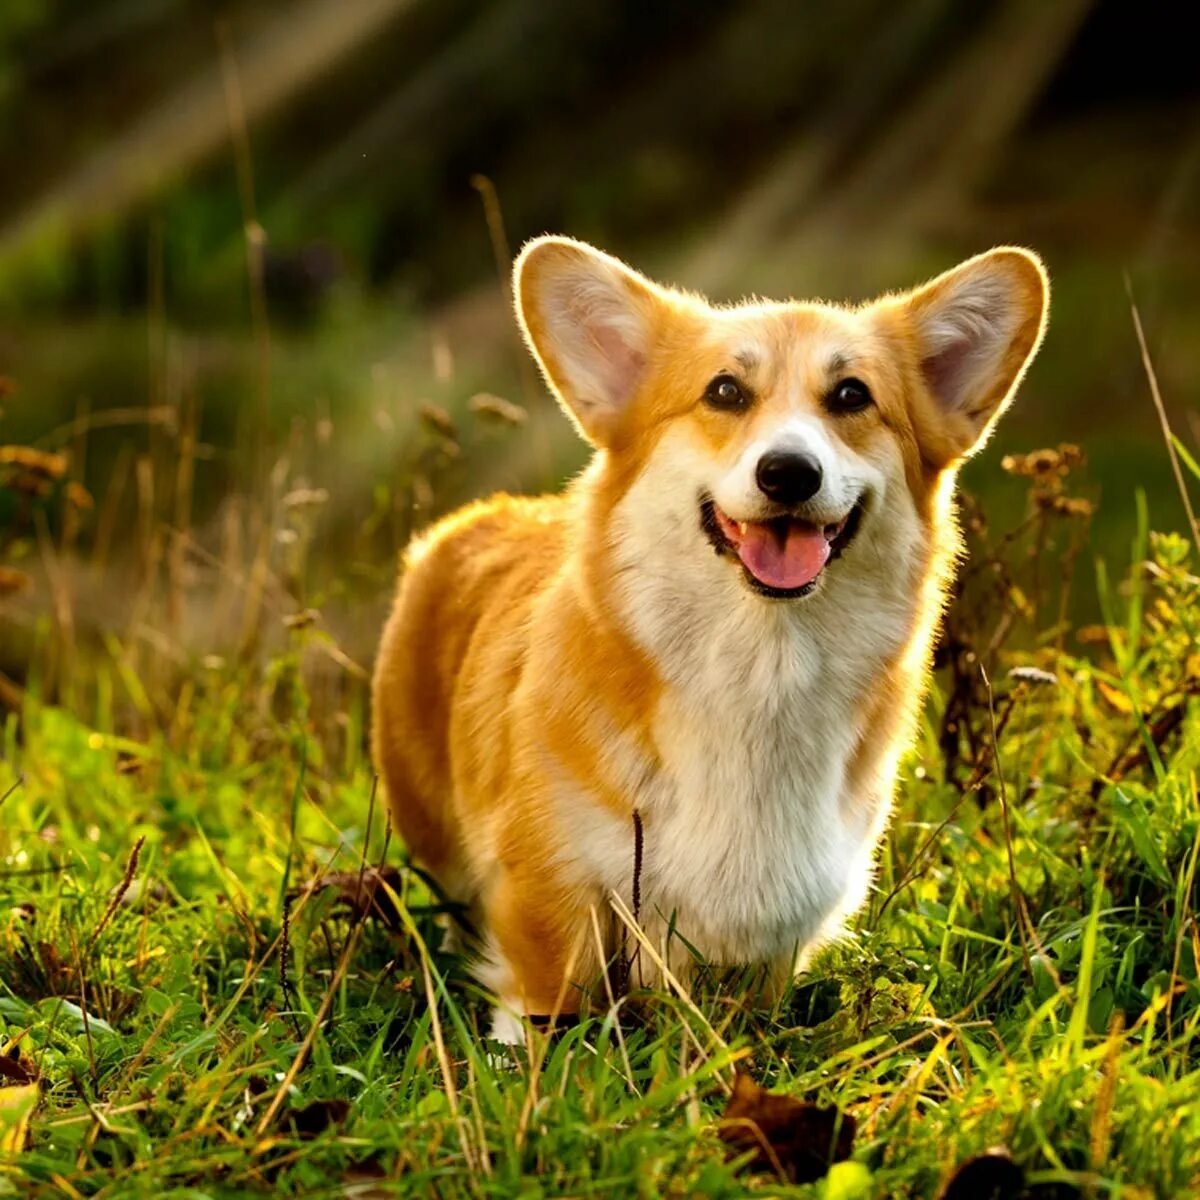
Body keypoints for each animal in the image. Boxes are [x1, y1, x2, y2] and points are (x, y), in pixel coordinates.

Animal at [369, 236, 1046, 1041]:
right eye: (725, 392)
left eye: (852, 396)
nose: (789, 473)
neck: (761, 669)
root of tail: (481, 515)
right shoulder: (550, 905)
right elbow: (545, 1021)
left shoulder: (773, 942)